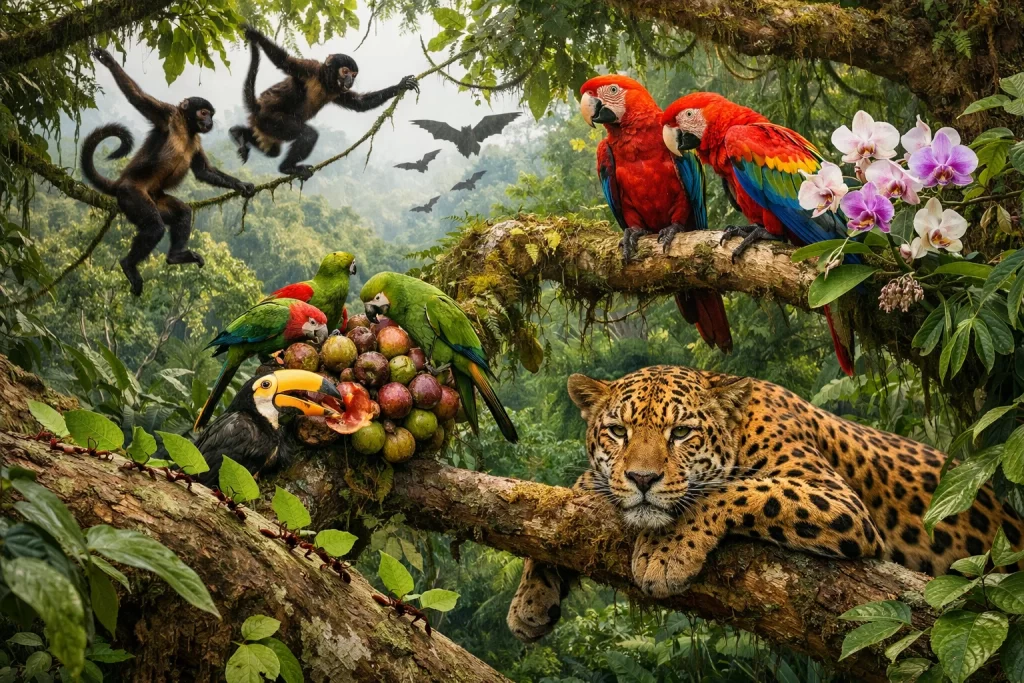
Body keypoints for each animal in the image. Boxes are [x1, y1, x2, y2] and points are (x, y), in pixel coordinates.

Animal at [82, 48, 256, 297]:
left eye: (211, 114)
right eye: (204, 112)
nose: (209, 121)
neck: (186, 128)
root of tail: (121, 182)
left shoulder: (196, 139)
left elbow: (203, 171)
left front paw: (242, 185)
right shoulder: (168, 114)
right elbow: (136, 97)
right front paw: (108, 61)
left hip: (157, 198)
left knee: (182, 212)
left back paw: (175, 257)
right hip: (132, 194)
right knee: (154, 226)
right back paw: (129, 264)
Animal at [229, 26, 420, 180]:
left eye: (354, 74)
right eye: (345, 72)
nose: (350, 80)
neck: (324, 82)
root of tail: (258, 108)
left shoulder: (336, 91)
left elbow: (359, 104)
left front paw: (400, 85)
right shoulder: (310, 68)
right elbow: (283, 61)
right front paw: (253, 33)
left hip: (267, 129)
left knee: (272, 151)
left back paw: (239, 134)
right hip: (271, 121)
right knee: (307, 132)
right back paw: (286, 168)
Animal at [507, 365, 1024, 642]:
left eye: (682, 433)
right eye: (618, 431)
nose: (642, 479)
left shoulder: (837, 499)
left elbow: (734, 489)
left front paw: (665, 554)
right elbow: (564, 502)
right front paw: (530, 600)